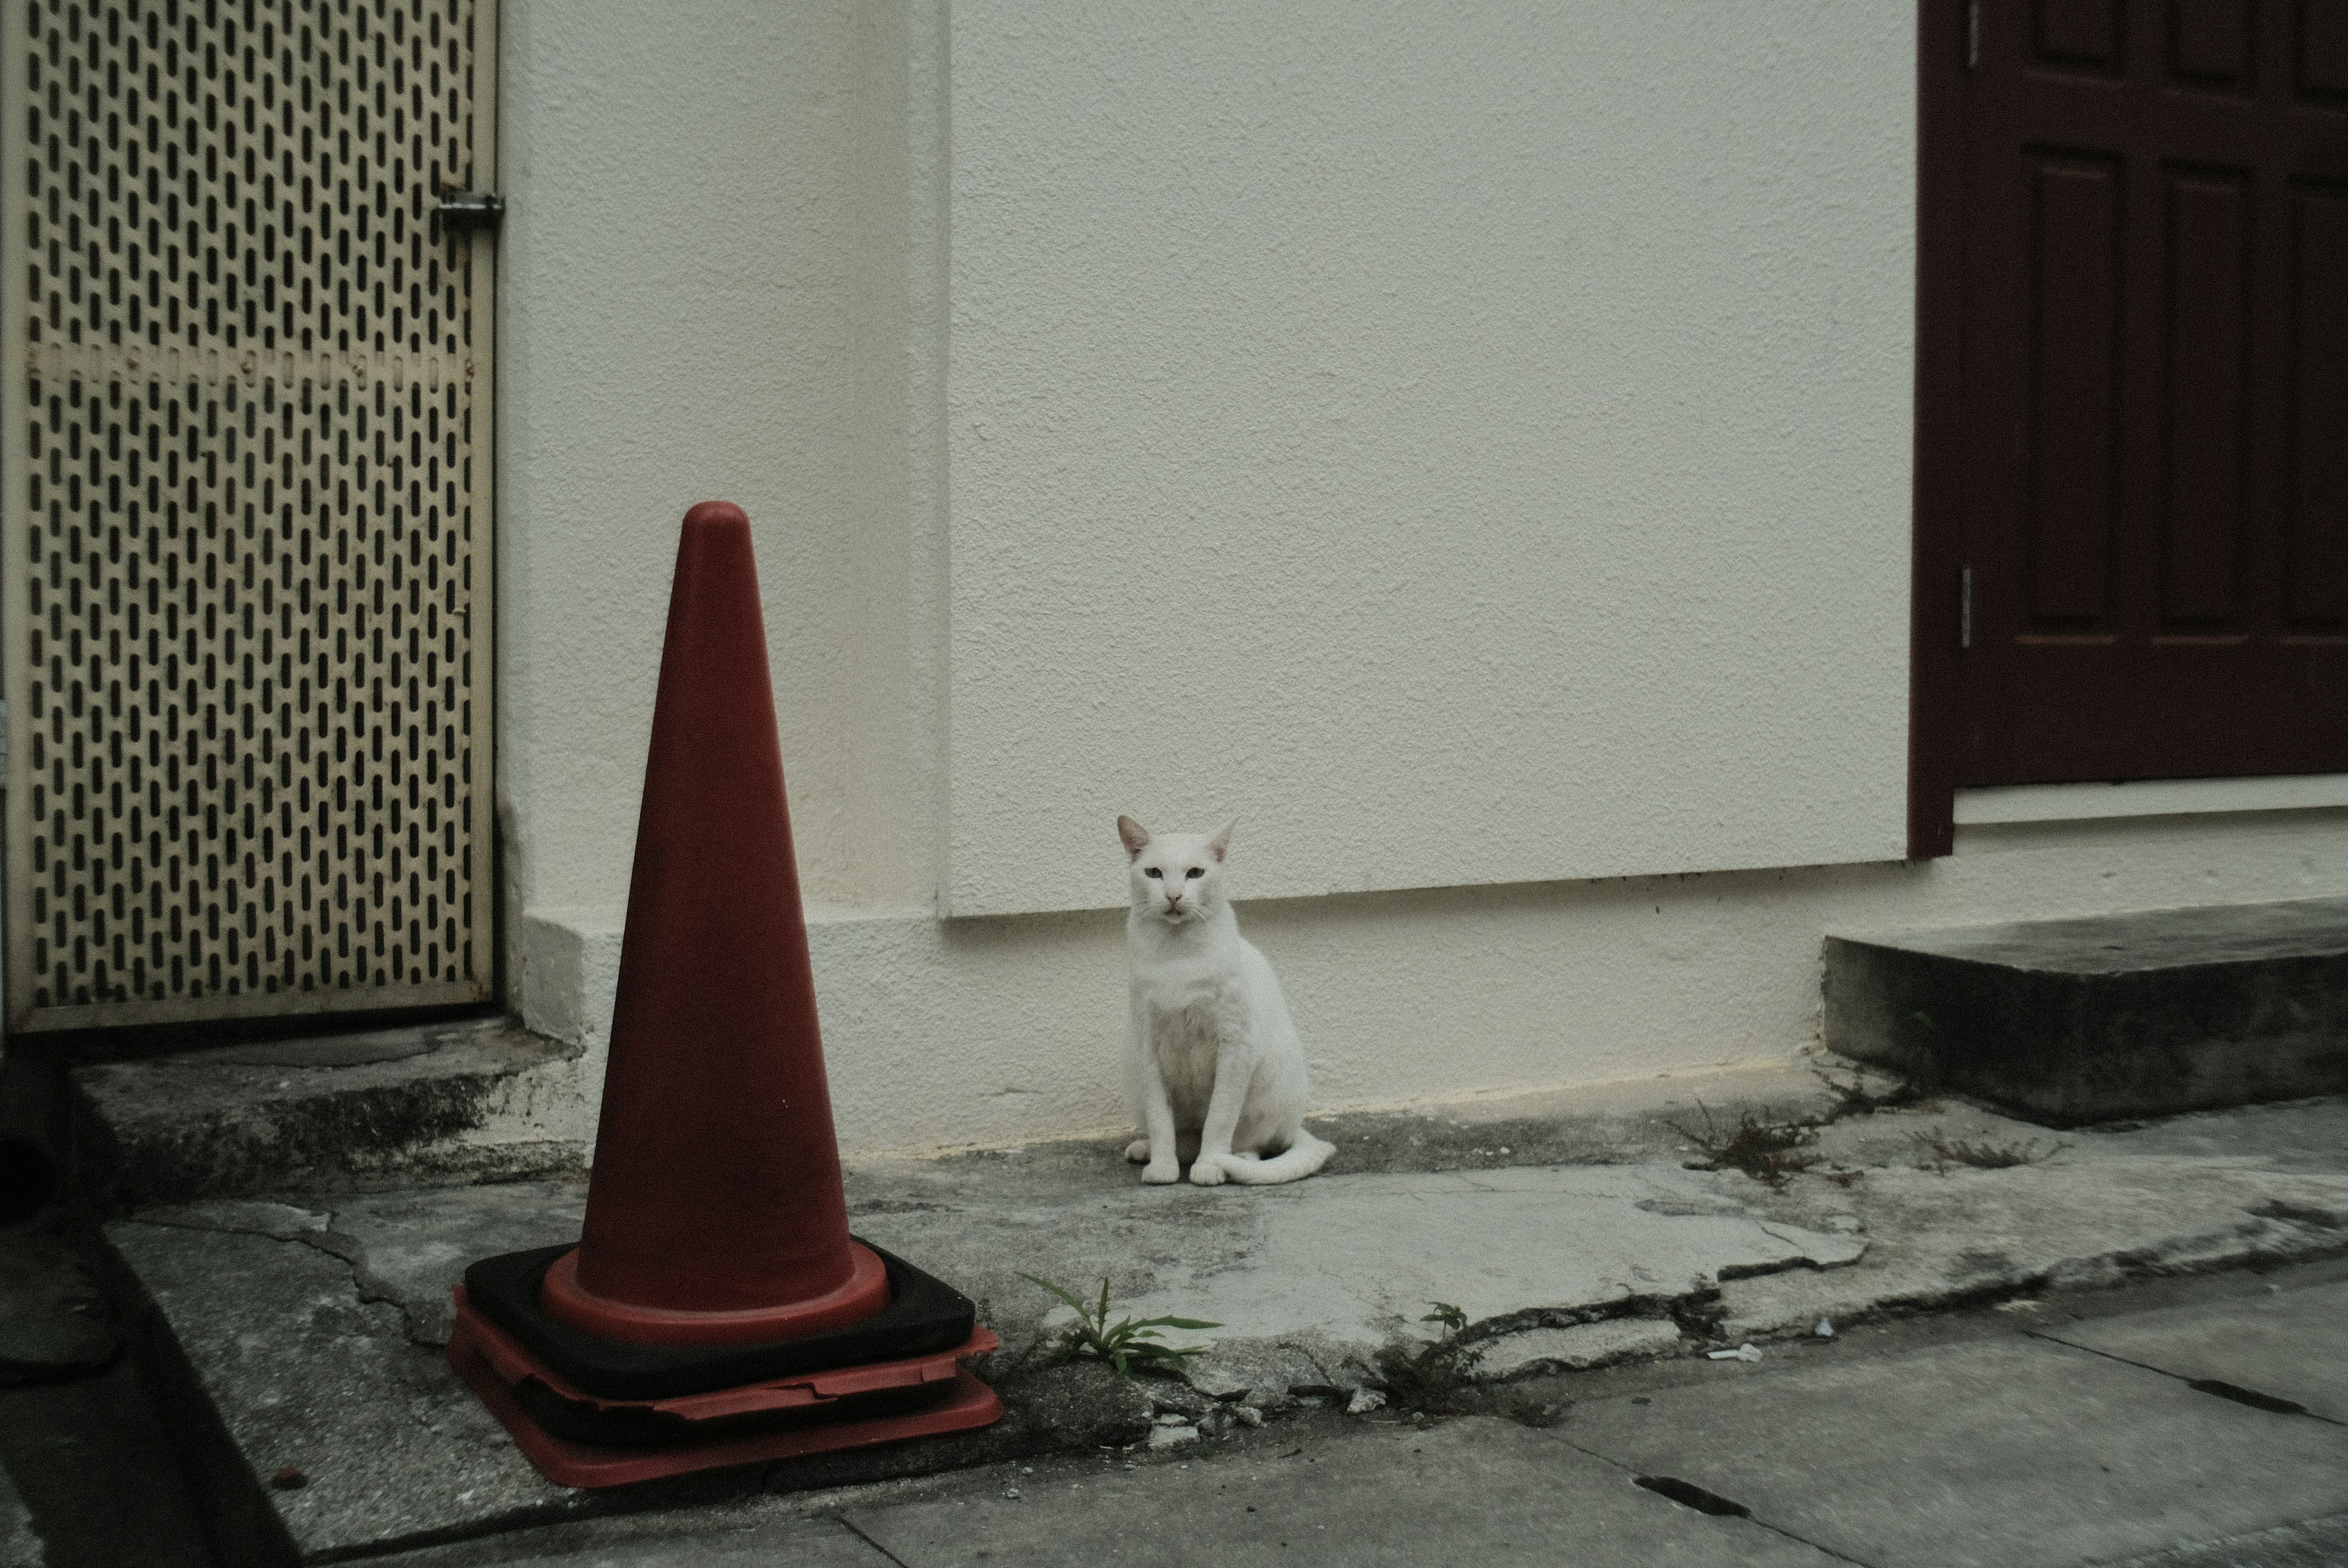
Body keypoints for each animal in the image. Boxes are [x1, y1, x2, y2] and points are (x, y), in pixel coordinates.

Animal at [1117, 821, 1343, 1187]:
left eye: (1195, 873)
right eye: (1154, 873)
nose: (1173, 895)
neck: (1177, 956)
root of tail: (1294, 1126)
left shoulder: (1236, 1046)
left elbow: (1219, 1122)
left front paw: (1210, 1167)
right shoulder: (1148, 1050)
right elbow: (1161, 1122)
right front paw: (1162, 1167)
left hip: (1267, 1085)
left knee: (1248, 1145)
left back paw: (1229, 1162)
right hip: (1134, 1075)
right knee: (1182, 1139)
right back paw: (1147, 1150)